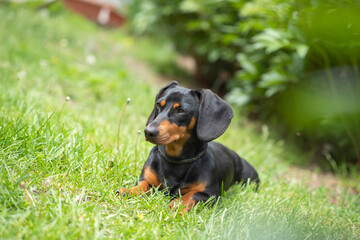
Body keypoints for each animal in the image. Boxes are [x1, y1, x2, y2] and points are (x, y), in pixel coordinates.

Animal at [117, 81, 258, 213]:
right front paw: (128, 191)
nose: (148, 132)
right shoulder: (147, 179)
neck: (176, 160)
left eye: (181, 110)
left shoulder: (210, 195)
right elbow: (142, 185)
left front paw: (175, 206)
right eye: (158, 104)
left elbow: (190, 196)